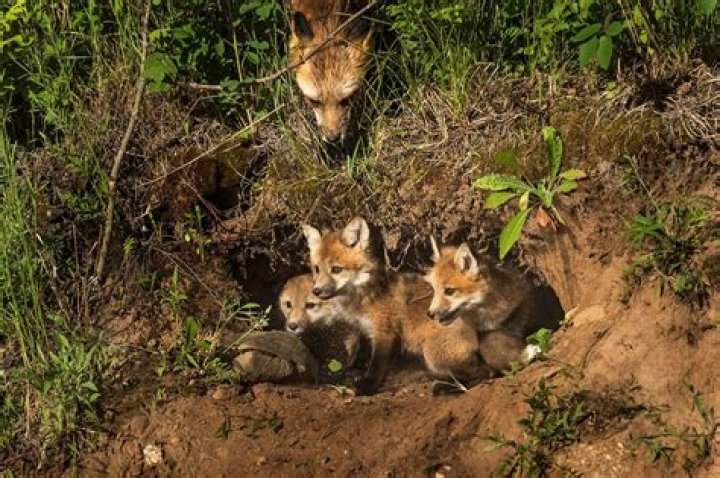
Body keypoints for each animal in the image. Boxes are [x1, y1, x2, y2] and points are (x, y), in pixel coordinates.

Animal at [301, 217, 496, 395]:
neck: (364, 296)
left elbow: (376, 366)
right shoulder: (367, 332)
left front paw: (366, 387)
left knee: (487, 371)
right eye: (317, 269)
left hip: (433, 355)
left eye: (336, 269)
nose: (316, 291)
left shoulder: (384, 332)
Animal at [425, 238, 564, 363]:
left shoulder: (526, 311)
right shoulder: (487, 333)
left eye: (449, 291)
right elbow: (489, 346)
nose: (430, 314)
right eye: (434, 290)